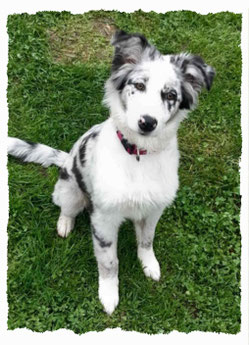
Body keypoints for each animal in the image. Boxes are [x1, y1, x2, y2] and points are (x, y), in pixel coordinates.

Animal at [7, 30, 214, 314]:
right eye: (139, 86)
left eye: (170, 95)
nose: (147, 122)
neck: (138, 155)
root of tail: (65, 159)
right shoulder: (104, 219)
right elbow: (109, 262)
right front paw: (108, 294)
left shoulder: (154, 209)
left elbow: (146, 241)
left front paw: (149, 265)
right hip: (71, 191)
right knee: (65, 207)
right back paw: (65, 224)